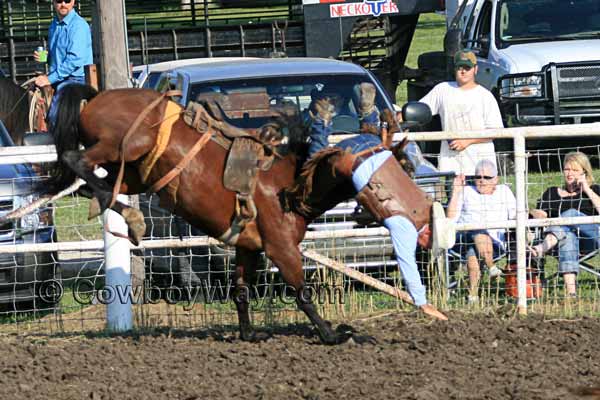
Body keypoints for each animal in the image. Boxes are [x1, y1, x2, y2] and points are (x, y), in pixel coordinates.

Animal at [47, 83, 432, 344]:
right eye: (396, 167)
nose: (418, 208)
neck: (291, 184)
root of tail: (97, 96)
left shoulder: (249, 247)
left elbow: (242, 290)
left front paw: (249, 334)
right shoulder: (280, 248)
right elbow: (302, 292)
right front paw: (332, 334)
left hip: (134, 171)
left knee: (96, 182)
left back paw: (116, 209)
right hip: (123, 146)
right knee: (75, 160)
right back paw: (130, 216)